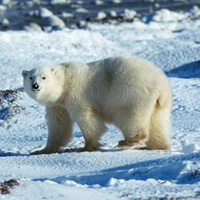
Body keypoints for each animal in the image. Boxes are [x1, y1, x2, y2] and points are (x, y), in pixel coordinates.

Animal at [22, 56, 172, 155]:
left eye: (44, 77)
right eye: (30, 77)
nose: (35, 86)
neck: (64, 83)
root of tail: (161, 84)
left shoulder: (76, 94)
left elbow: (87, 118)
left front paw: (85, 147)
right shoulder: (57, 105)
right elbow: (58, 124)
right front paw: (43, 150)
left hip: (129, 93)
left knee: (129, 116)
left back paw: (128, 141)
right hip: (159, 104)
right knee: (157, 123)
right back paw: (156, 146)